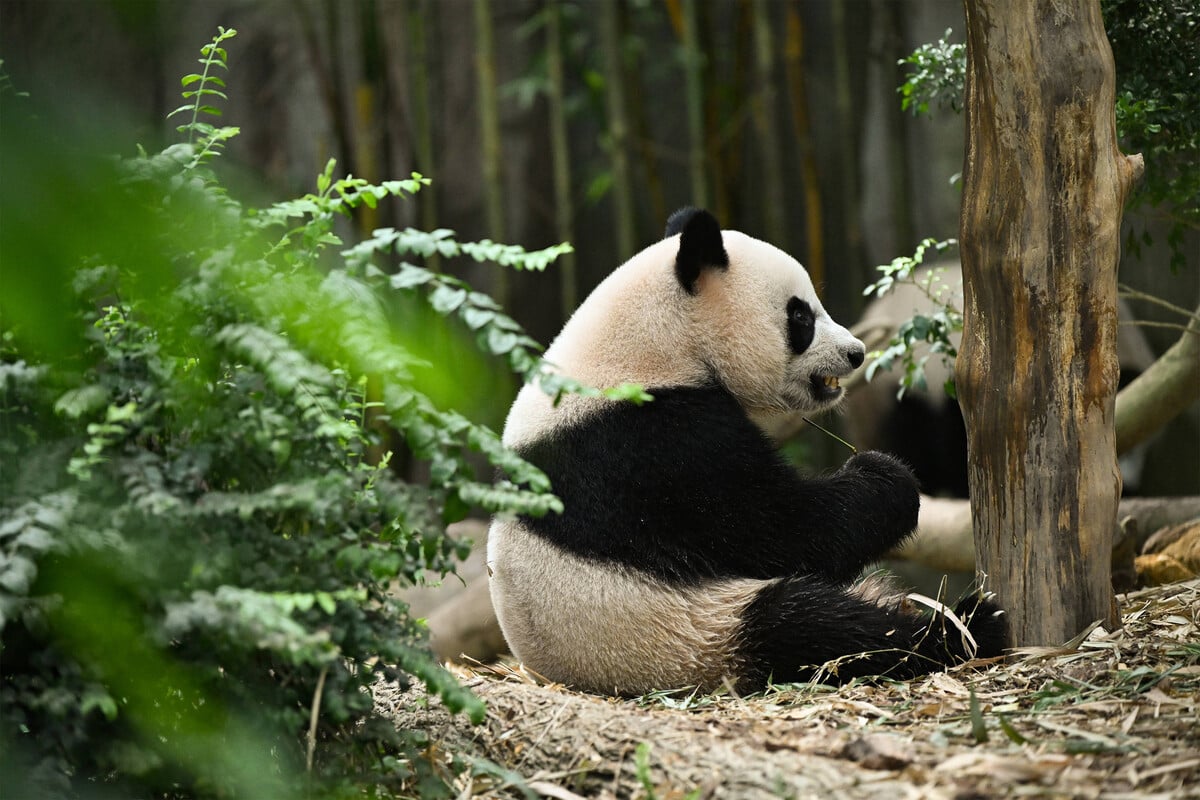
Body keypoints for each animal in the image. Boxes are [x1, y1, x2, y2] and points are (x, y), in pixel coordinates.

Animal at [487, 208, 1006, 696]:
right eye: (801, 317)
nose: (856, 353)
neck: (650, 345)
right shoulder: (647, 446)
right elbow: (781, 530)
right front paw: (885, 476)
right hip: (690, 634)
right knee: (813, 628)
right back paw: (965, 628)